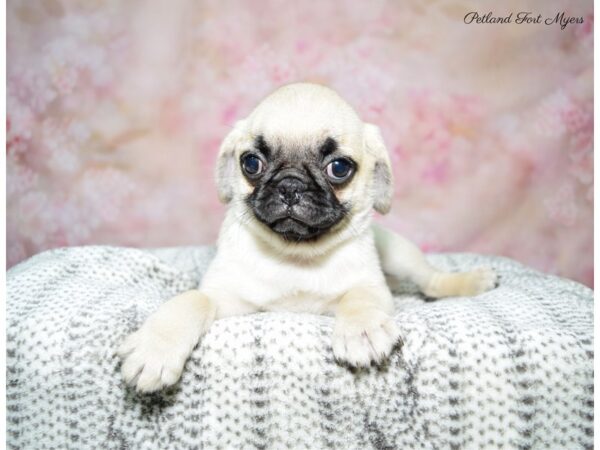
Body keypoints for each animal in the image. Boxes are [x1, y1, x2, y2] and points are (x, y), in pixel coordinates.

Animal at [118, 82, 496, 392]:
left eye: (339, 168)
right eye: (251, 163)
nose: (290, 185)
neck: (295, 254)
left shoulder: (373, 289)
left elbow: (359, 297)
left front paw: (362, 329)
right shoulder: (228, 300)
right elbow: (192, 300)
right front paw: (156, 348)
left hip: (400, 254)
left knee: (430, 279)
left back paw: (471, 281)